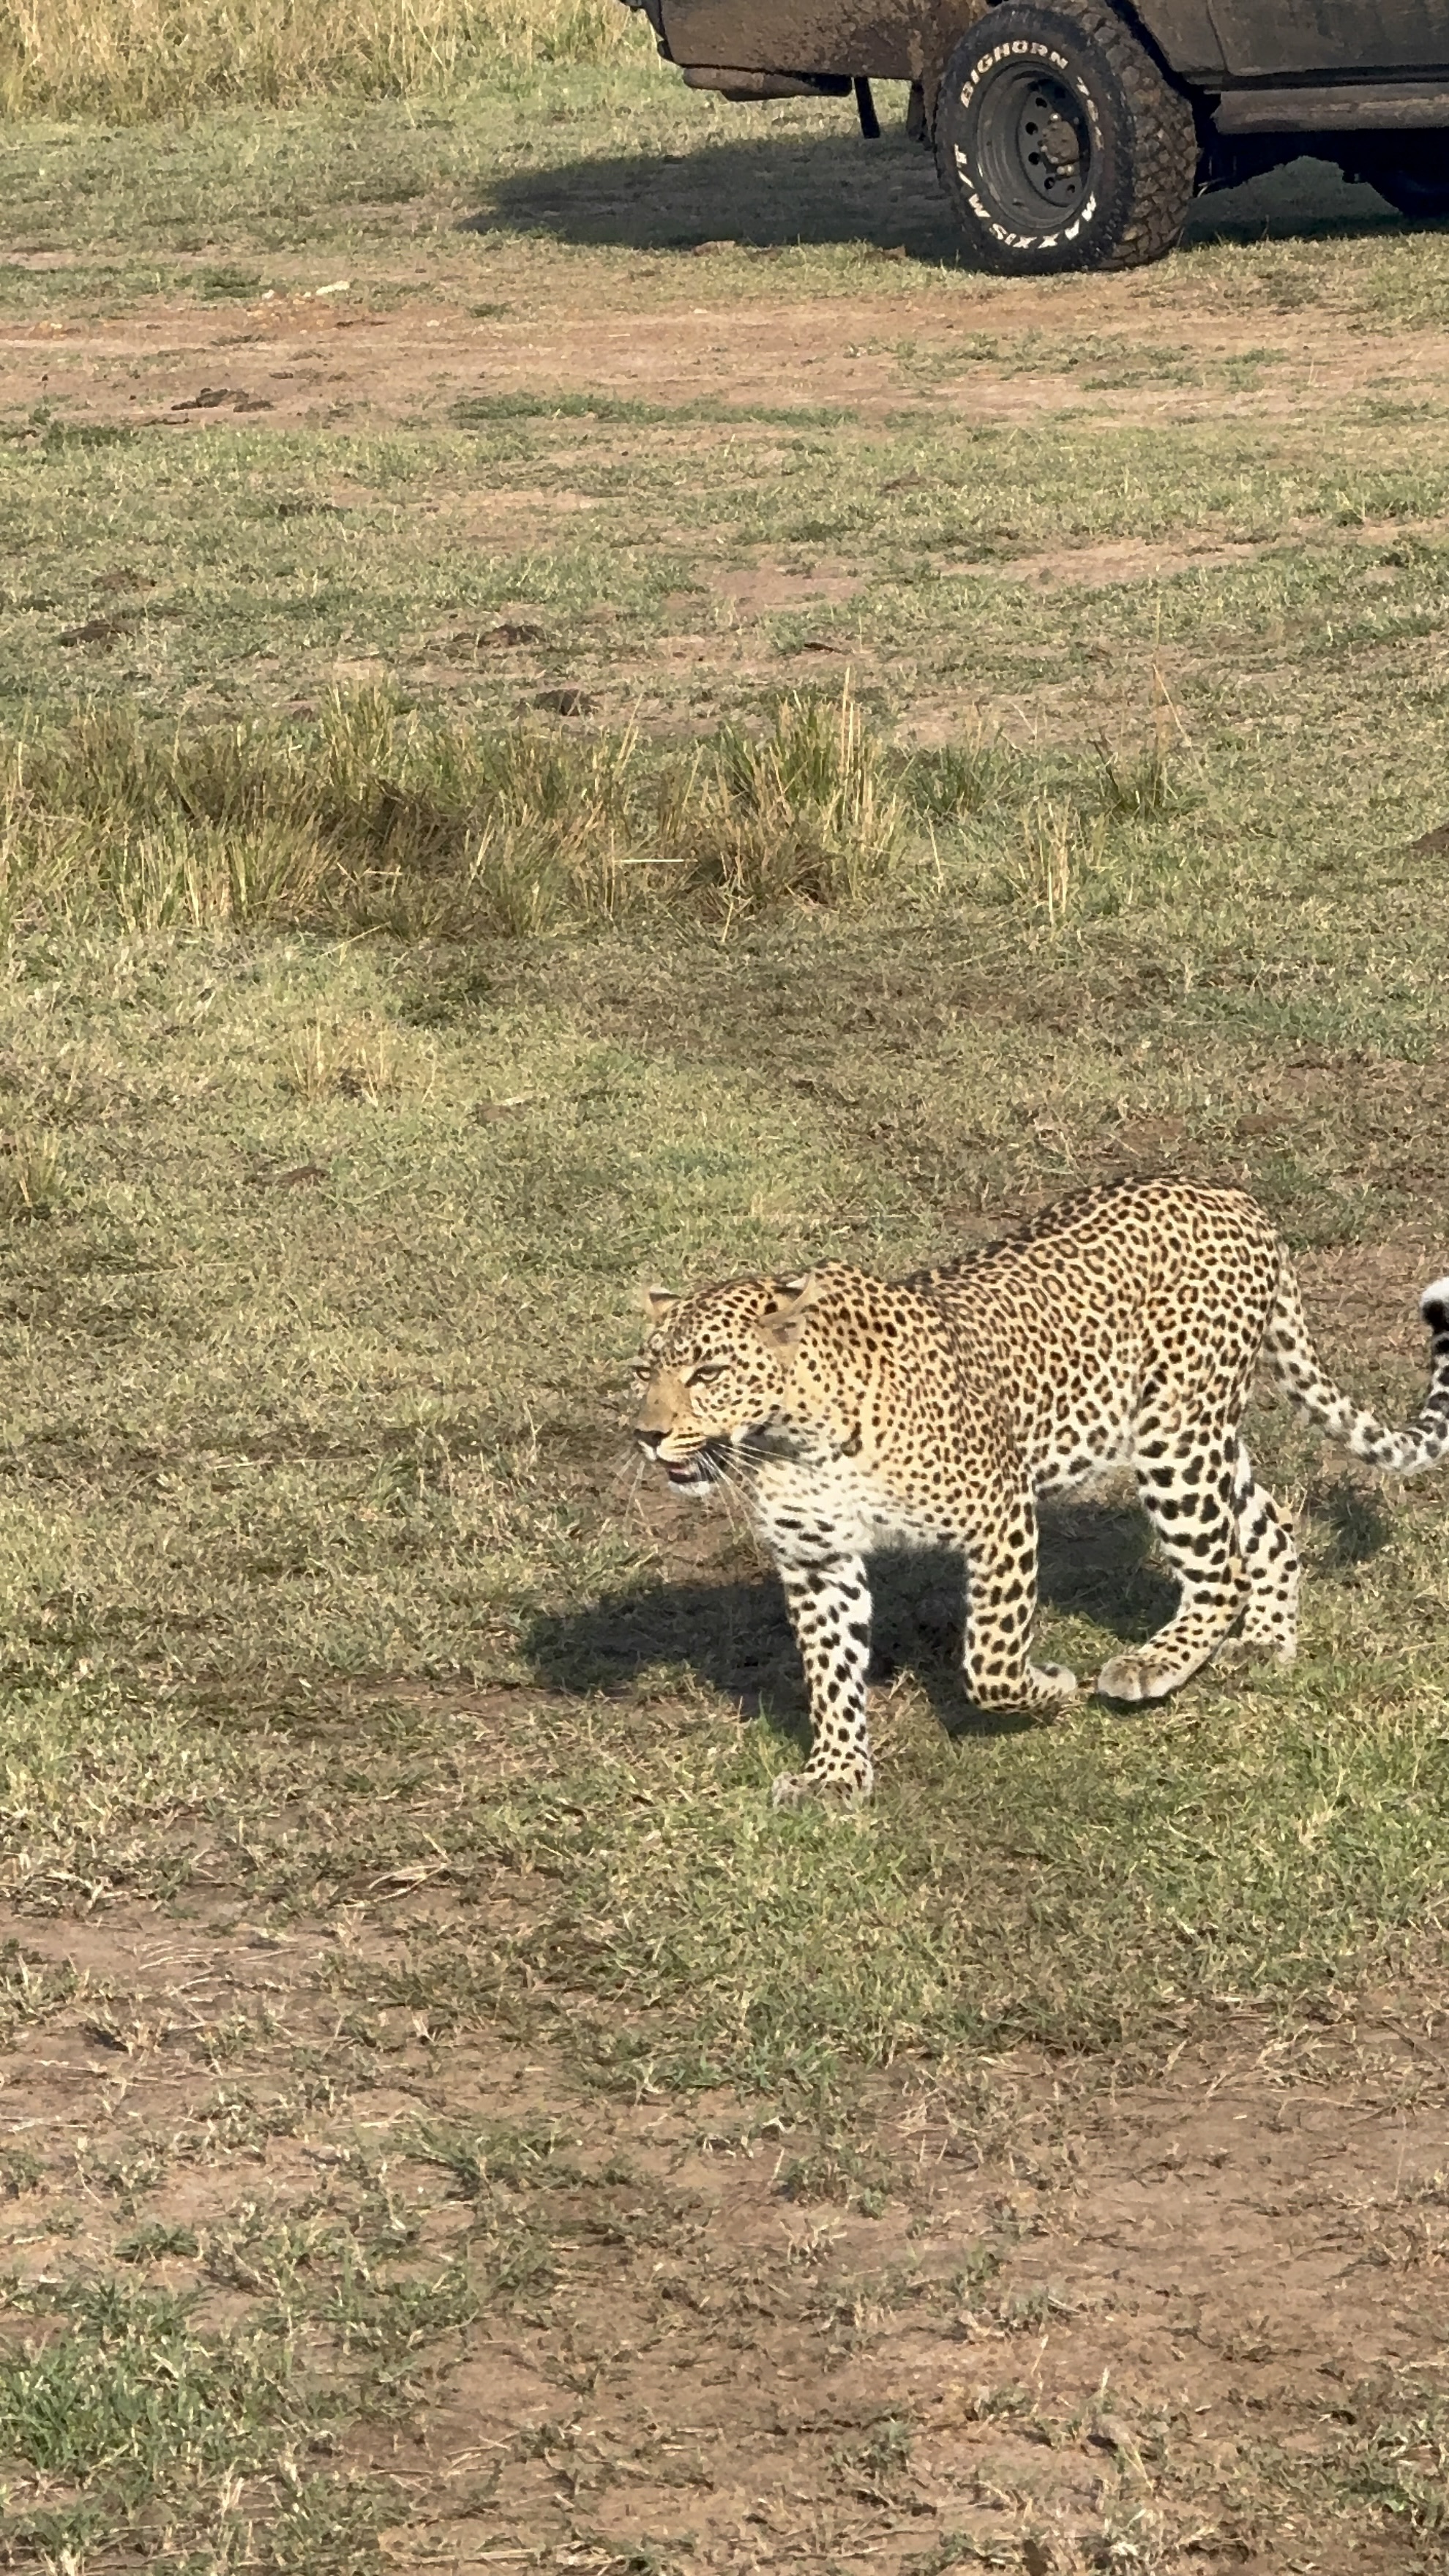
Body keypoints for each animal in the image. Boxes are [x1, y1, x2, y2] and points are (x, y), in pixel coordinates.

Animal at [633, 1176, 1449, 1807]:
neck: (791, 1435)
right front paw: (835, 1775)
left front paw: (1048, 1686)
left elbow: (988, 1660)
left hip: (1175, 1437)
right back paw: (1265, 1642)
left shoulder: (1001, 1514)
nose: (645, 1433)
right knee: (1268, 1527)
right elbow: (831, 1673)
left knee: (1220, 1570)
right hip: (1200, 1433)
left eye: (708, 1372)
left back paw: (1154, 1663)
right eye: (646, 1369)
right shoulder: (816, 1558)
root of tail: (1234, 1195)